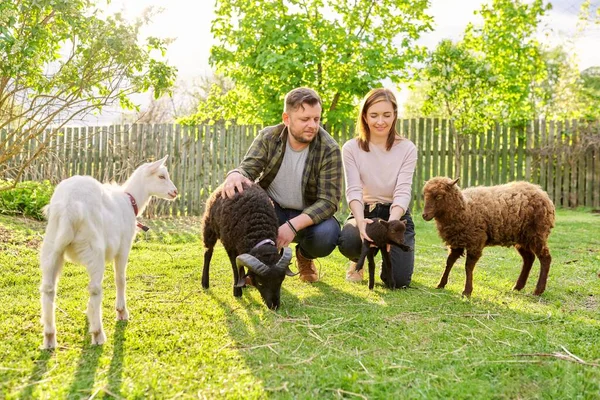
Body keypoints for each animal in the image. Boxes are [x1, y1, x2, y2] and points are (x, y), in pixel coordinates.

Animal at [202, 181, 296, 310]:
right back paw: (205, 283)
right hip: (209, 227)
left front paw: (242, 283)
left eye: (282, 280)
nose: (274, 306)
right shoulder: (230, 246)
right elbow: (235, 268)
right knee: (208, 253)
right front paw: (237, 291)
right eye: (260, 282)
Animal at [422, 178, 552, 296]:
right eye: (425, 196)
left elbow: (468, 267)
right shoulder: (457, 241)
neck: (465, 209)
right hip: (522, 238)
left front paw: (467, 291)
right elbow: (449, 262)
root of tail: (542, 192)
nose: (424, 215)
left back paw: (538, 290)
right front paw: (441, 284)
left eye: (439, 196)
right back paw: (518, 287)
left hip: (537, 234)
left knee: (545, 258)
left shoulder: (475, 242)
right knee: (529, 258)